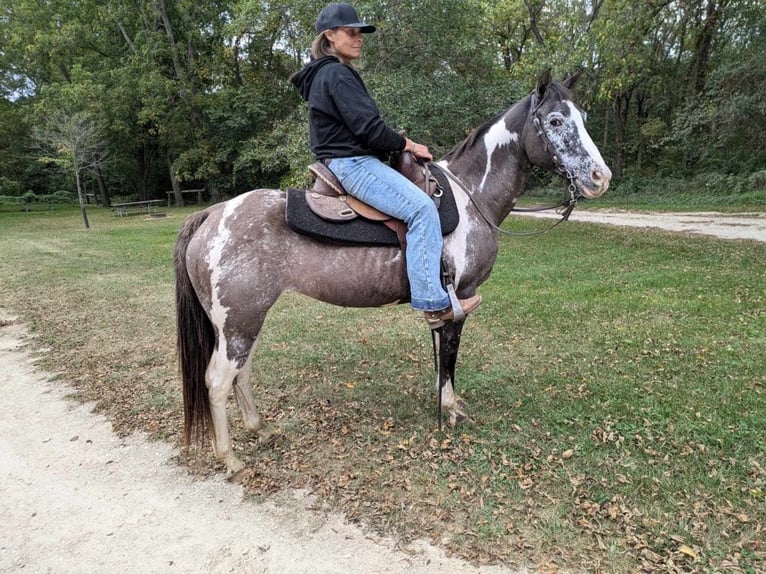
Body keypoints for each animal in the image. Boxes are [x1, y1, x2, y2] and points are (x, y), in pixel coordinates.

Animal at [174, 70, 611, 478]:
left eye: (585, 117)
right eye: (555, 120)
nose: (600, 177)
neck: (471, 197)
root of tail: (212, 214)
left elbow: (441, 355)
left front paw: (442, 404)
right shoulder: (460, 296)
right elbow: (450, 355)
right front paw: (452, 409)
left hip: (243, 321)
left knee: (242, 373)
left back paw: (261, 429)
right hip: (239, 321)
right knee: (218, 380)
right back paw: (230, 458)